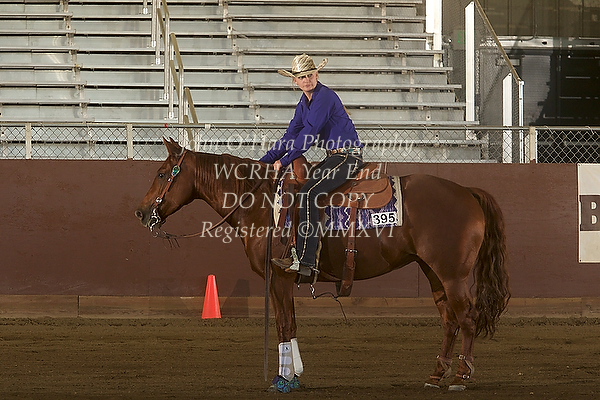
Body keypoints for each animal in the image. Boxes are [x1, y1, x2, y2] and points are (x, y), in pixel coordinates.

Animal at [135, 138, 510, 392]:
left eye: (163, 173)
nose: (140, 212)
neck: (260, 203)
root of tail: (466, 191)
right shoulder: (279, 280)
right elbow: (289, 324)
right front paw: (294, 375)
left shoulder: (281, 276)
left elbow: (284, 324)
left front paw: (283, 378)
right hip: (432, 272)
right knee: (449, 321)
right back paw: (436, 374)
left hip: (453, 274)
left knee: (467, 318)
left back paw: (461, 376)